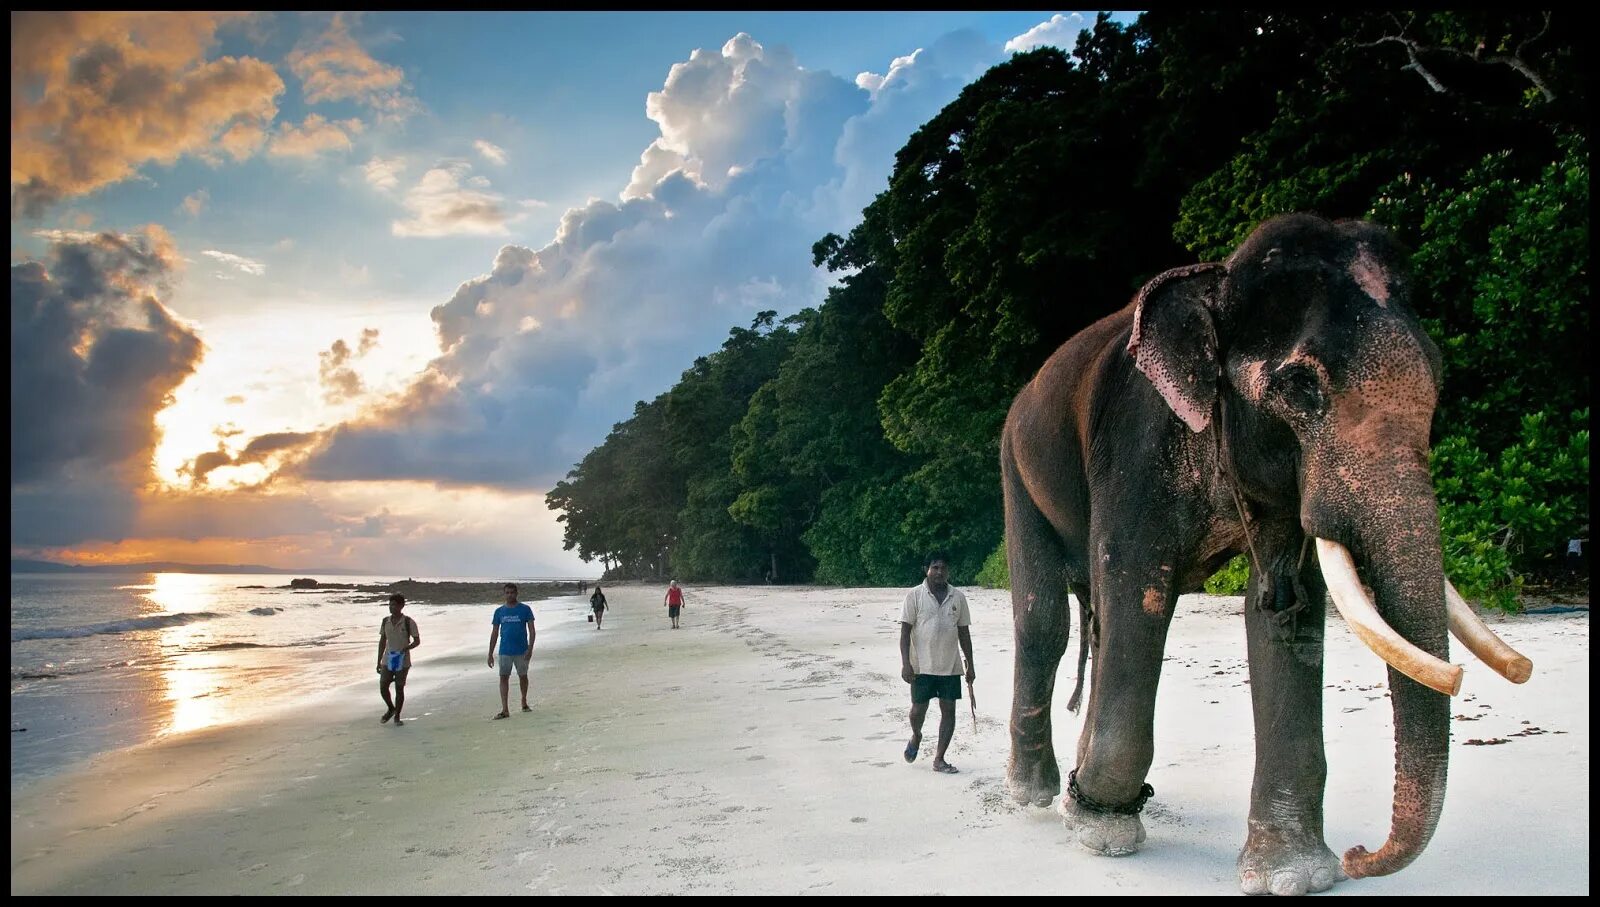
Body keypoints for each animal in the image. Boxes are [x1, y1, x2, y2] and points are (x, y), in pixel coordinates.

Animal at [998, 211, 1536, 895]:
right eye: (1301, 387)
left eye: (1438, 375)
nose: (1360, 854)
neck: (1219, 282)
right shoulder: (1136, 445)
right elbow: (1139, 590)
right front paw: (1103, 832)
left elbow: (1284, 615)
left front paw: (1295, 875)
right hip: (1015, 465)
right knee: (1046, 620)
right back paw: (1036, 797)